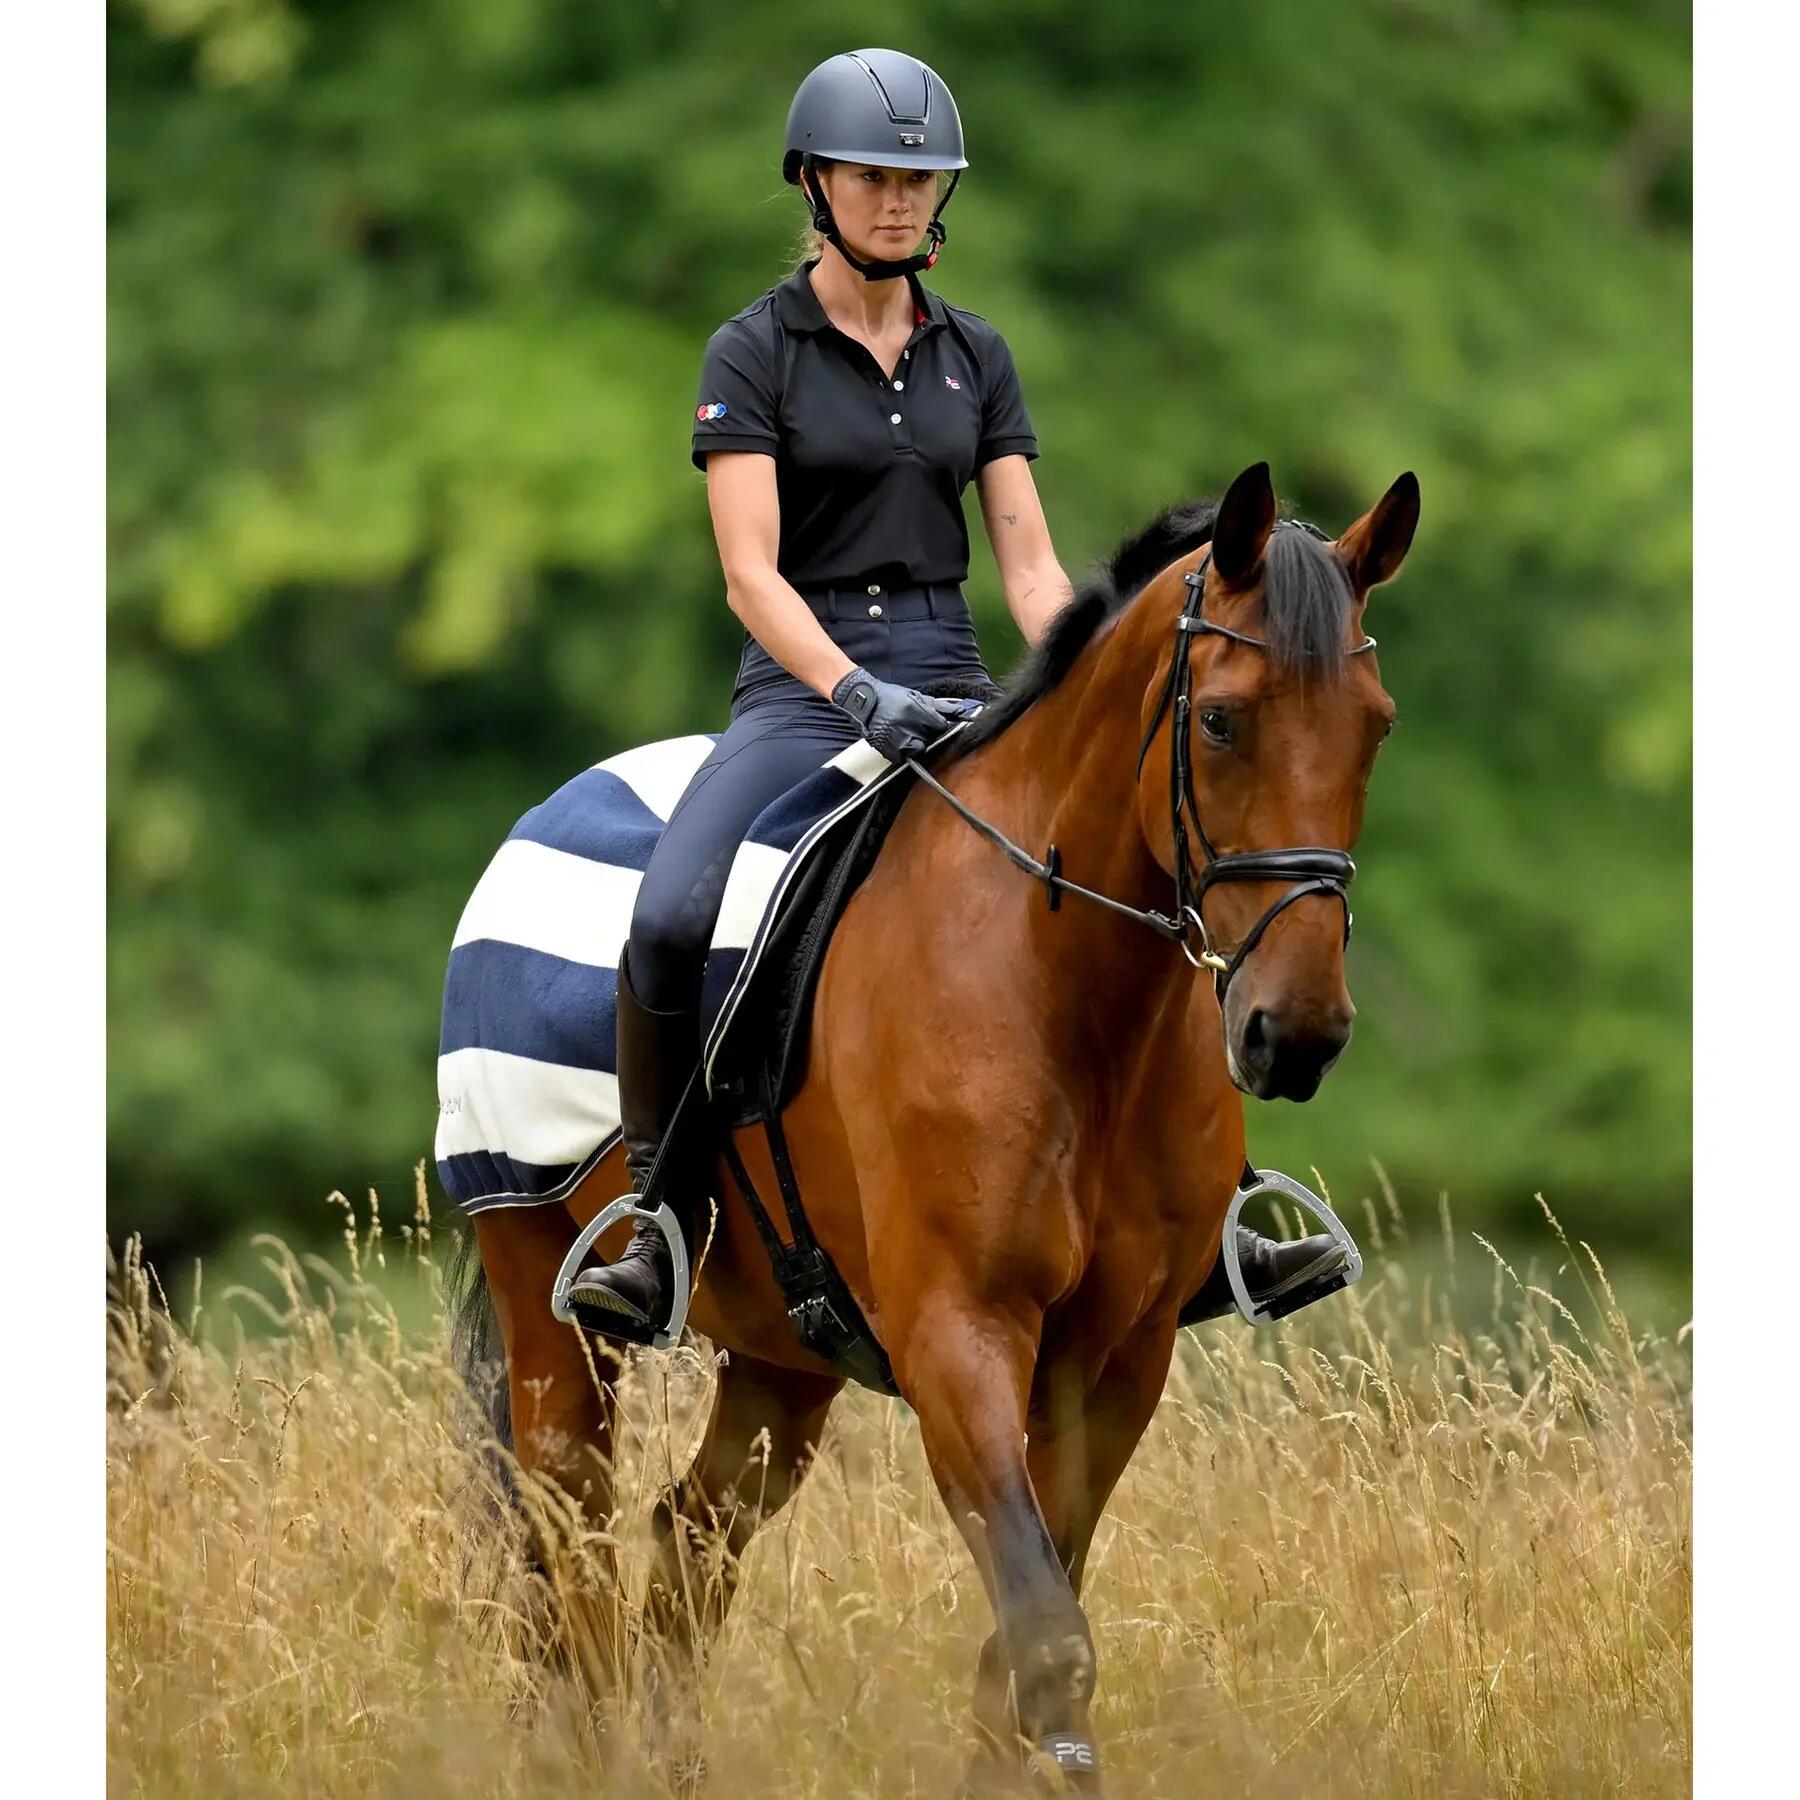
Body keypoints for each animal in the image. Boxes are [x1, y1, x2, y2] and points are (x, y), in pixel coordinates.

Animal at [450, 460, 1418, 1789]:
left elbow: (1027, 1639)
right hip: (545, 1301)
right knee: (572, 1564)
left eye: (1375, 723)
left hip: (781, 1361)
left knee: (686, 1546)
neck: (1066, 990)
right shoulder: (959, 1336)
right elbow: (1047, 1636)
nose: (1299, 1031)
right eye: (1222, 721)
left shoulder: (1117, 1363)